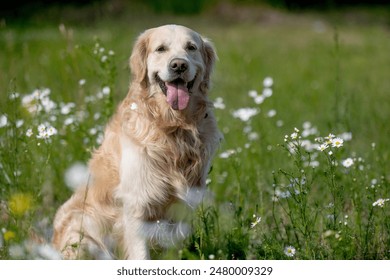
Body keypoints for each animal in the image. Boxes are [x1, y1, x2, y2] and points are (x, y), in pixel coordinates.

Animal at [53, 25, 221, 260]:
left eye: (191, 47)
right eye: (160, 49)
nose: (179, 65)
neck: (173, 127)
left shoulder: (182, 208)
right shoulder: (136, 204)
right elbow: (141, 254)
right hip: (82, 236)